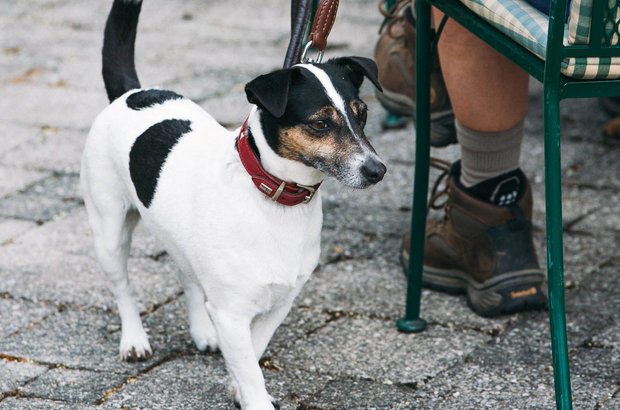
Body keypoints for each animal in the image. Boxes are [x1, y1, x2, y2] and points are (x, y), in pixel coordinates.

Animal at [80, 1, 386, 408]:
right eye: (320, 123)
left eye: (362, 113)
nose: (377, 170)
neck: (274, 199)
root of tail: (131, 92)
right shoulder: (231, 312)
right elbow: (250, 367)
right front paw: (252, 396)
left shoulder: (278, 304)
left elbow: (253, 354)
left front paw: (237, 386)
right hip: (109, 229)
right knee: (123, 287)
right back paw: (134, 340)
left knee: (188, 278)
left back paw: (203, 333)